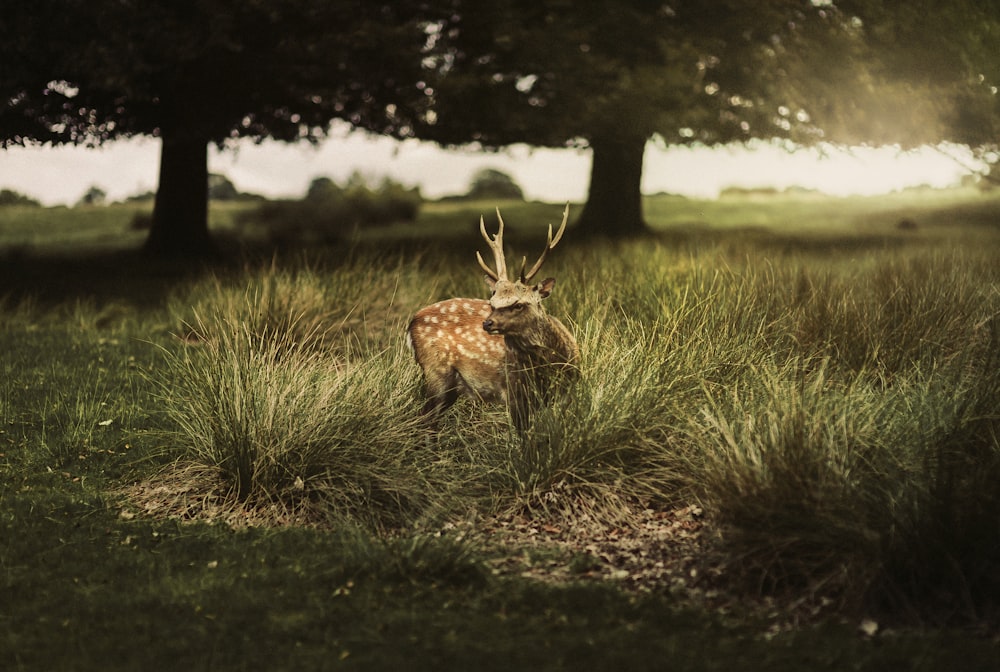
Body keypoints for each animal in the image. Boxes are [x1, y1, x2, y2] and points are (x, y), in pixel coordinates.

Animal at [406, 205, 580, 430]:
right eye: (492, 302)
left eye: (518, 304)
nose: (487, 323)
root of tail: (411, 323)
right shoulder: (514, 392)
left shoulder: (569, 390)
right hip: (436, 372)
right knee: (423, 419)